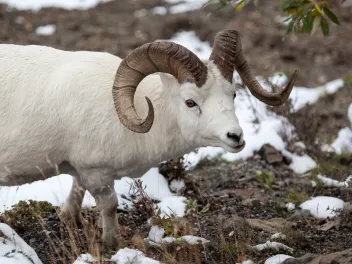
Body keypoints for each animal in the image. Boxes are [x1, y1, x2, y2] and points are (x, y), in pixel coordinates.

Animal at [0, 30, 296, 248]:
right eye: (190, 102)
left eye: (232, 94)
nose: (235, 137)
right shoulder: (96, 173)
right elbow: (109, 207)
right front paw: (111, 243)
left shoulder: (81, 171)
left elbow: (76, 191)